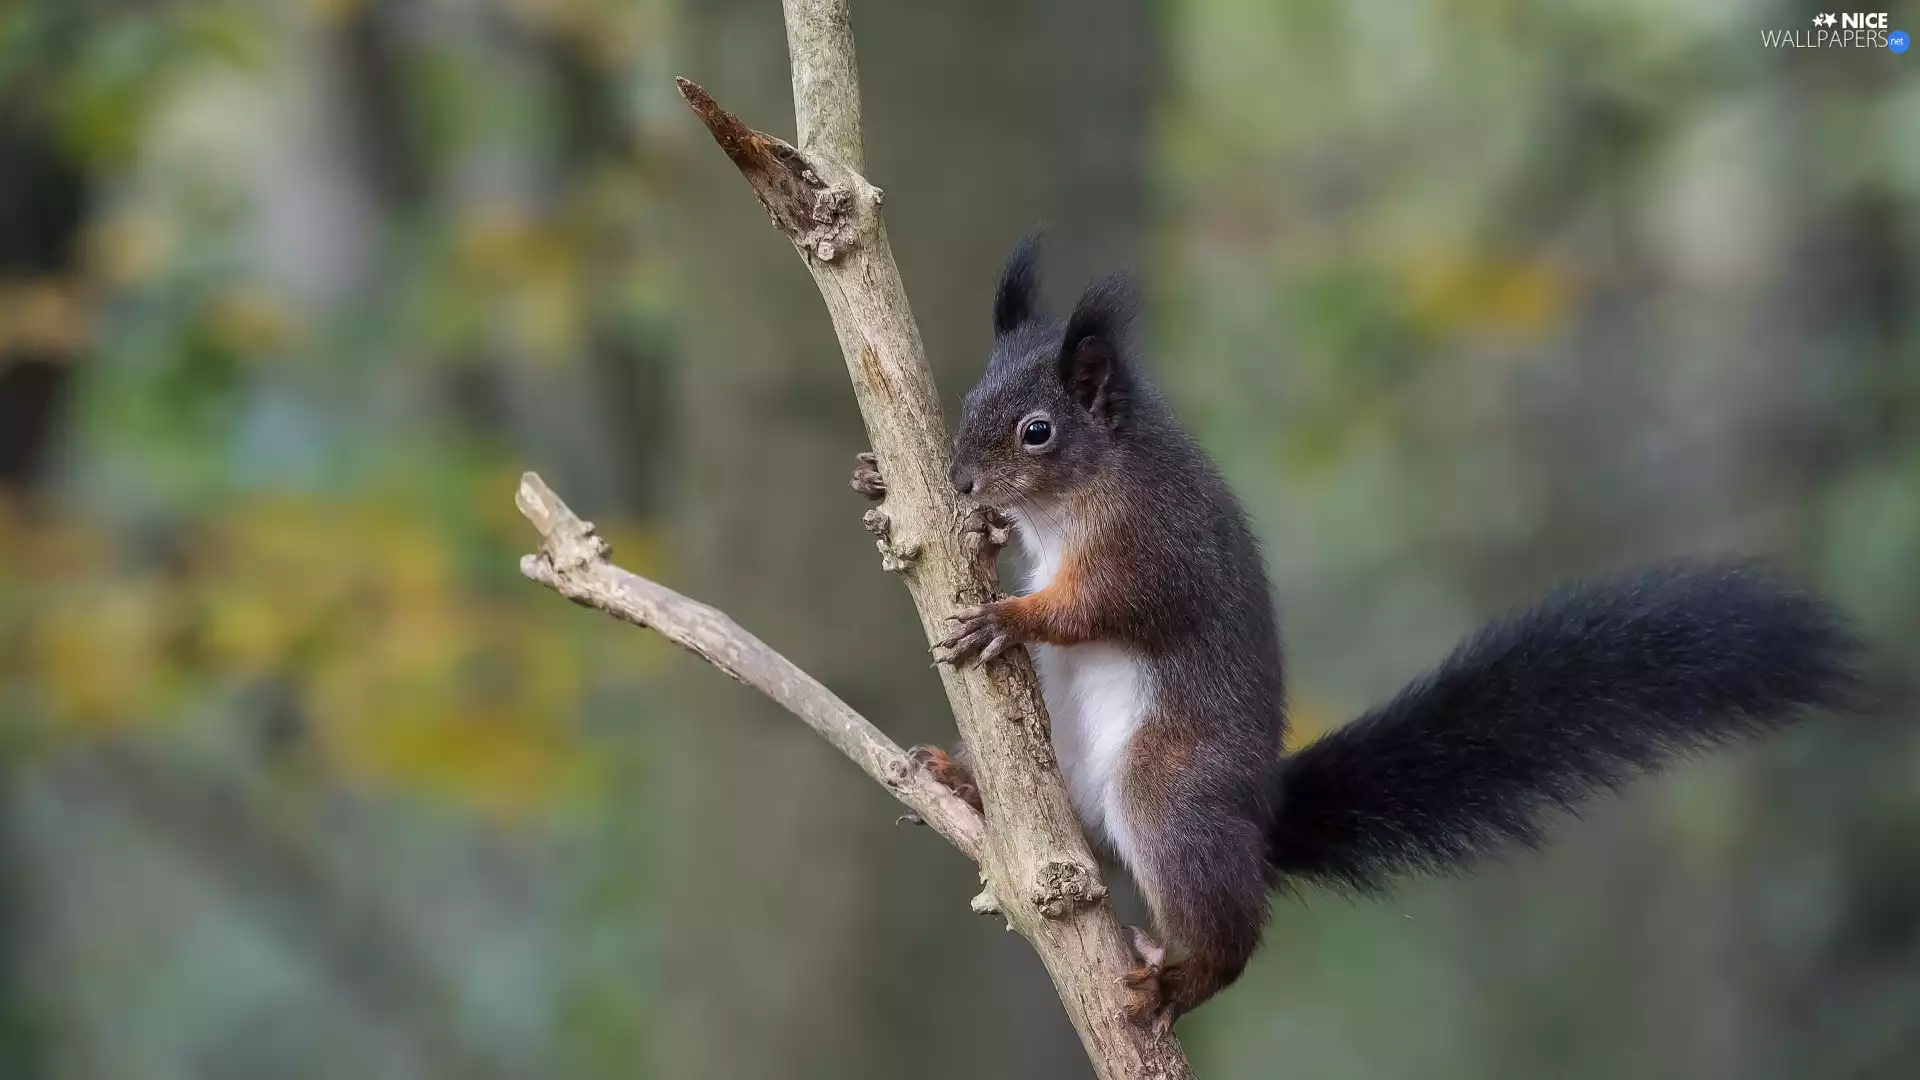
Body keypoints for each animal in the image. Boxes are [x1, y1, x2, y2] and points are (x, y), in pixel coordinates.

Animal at [850, 235, 1863, 1034]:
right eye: (968, 399)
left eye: (1037, 431)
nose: (961, 481)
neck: (1087, 490)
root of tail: (1260, 813)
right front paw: (880, 482)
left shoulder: (1159, 548)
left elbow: (1107, 605)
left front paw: (1010, 614)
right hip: (1068, 776)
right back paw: (965, 785)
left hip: (1171, 790)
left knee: (1228, 926)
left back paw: (1178, 981)